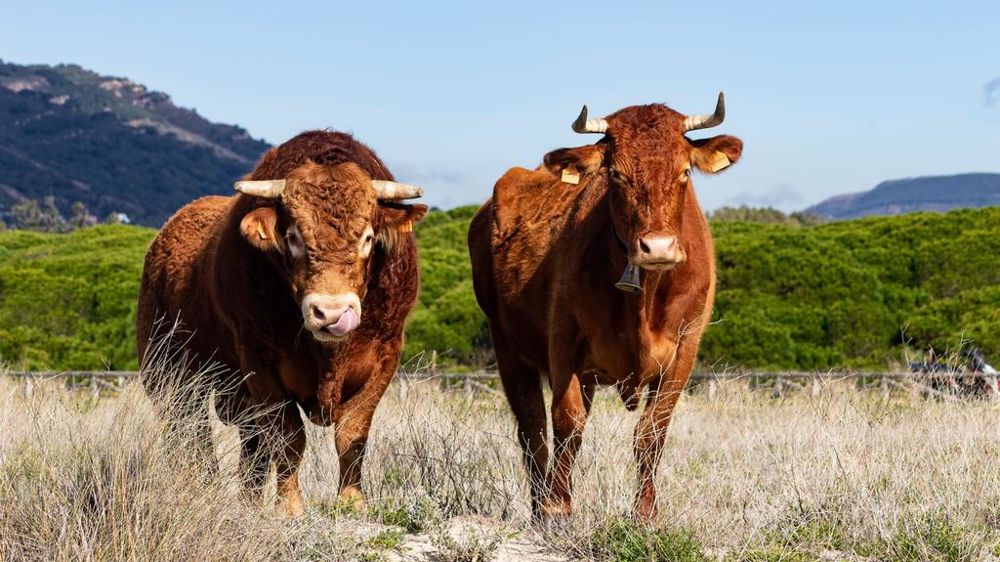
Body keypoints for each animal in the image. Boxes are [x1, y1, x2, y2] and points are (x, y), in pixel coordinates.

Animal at [136, 130, 427, 517]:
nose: (330, 313)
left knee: (249, 439)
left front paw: (352, 502)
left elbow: (352, 434)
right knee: (190, 430)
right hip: (168, 372)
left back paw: (247, 498)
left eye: (367, 237)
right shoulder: (261, 364)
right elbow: (289, 437)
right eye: (293, 237)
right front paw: (289, 506)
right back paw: (202, 486)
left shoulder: (385, 355)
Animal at [468, 94, 742, 522]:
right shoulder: (564, 343)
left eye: (684, 171)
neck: (643, 299)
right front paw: (557, 508)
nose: (658, 247)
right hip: (508, 347)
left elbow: (651, 431)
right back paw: (539, 505)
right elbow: (567, 424)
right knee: (532, 429)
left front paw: (645, 513)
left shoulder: (685, 349)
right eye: (615, 174)